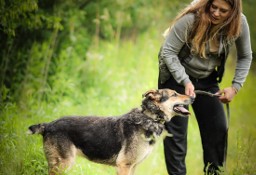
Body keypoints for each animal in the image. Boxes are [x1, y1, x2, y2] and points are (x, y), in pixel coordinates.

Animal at [27, 89, 194, 175]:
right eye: (174, 94)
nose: (193, 96)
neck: (149, 117)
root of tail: (49, 125)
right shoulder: (124, 165)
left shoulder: (132, 166)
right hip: (63, 164)